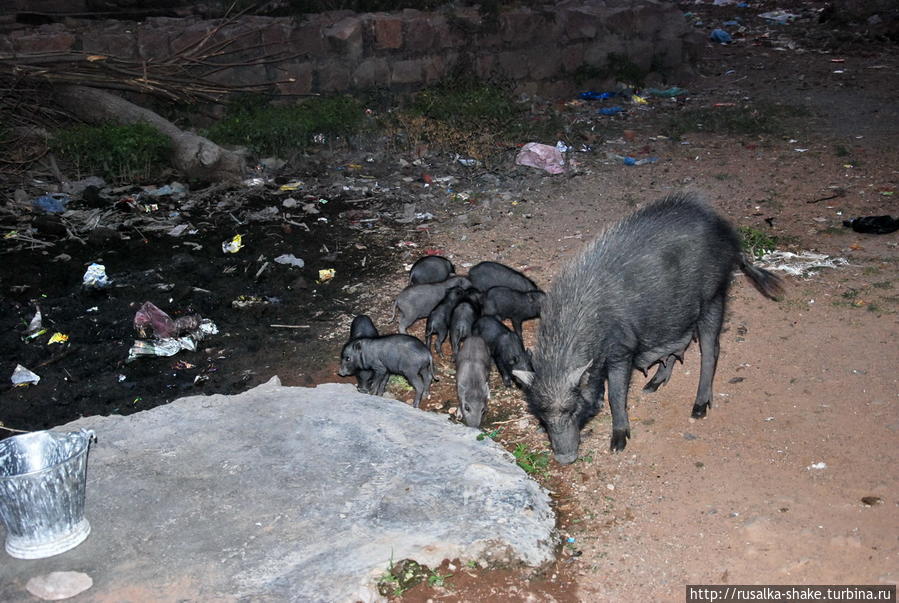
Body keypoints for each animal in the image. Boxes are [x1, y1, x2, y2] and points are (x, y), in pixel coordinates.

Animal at [516, 193, 784, 462]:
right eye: (542, 415)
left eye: (571, 410)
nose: (564, 458)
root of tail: (727, 233)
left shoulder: (621, 350)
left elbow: (616, 394)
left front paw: (618, 444)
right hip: (676, 315)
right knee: (679, 344)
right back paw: (651, 387)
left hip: (714, 296)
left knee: (711, 350)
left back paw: (698, 410)